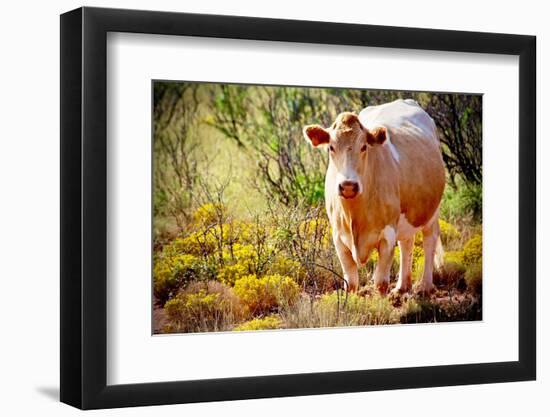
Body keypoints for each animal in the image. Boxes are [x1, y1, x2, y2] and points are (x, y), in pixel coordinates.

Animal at [302, 99, 448, 294]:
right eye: (331, 148)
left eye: (364, 147)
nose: (348, 186)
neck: (355, 216)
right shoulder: (338, 237)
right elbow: (351, 283)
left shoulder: (388, 235)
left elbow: (380, 282)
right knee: (407, 243)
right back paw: (402, 286)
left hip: (432, 210)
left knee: (429, 239)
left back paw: (425, 286)